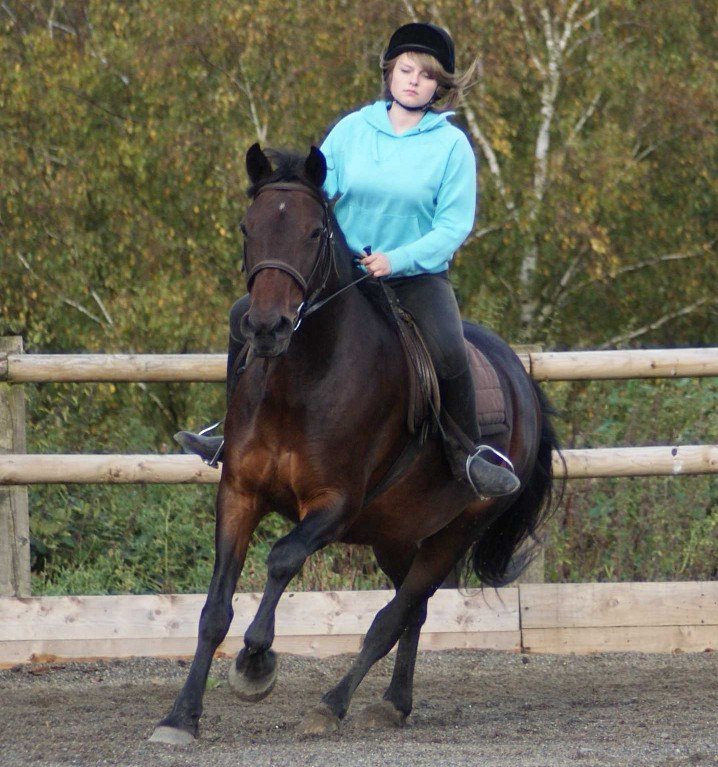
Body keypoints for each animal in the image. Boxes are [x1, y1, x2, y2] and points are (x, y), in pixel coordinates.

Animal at [150, 144, 560, 744]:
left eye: (315, 231)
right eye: (248, 227)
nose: (267, 327)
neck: (300, 382)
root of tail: (523, 382)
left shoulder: (335, 505)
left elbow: (282, 558)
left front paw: (256, 664)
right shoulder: (239, 493)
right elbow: (214, 610)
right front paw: (180, 717)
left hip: (454, 532)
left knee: (394, 615)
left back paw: (333, 704)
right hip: (395, 533)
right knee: (411, 613)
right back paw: (392, 703)